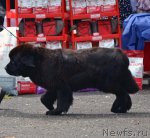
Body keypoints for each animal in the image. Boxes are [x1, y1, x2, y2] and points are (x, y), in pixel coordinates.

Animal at [4, 43, 138, 115]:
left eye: (13, 61)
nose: (5, 68)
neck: (39, 62)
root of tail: (122, 54)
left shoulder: (62, 87)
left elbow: (62, 100)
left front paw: (56, 111)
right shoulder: (53, 86)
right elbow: (44, 99)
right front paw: (52, 108)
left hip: (107, 83)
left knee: (123, 93)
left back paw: (118, 108)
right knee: (124, 94)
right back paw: (122, 108)